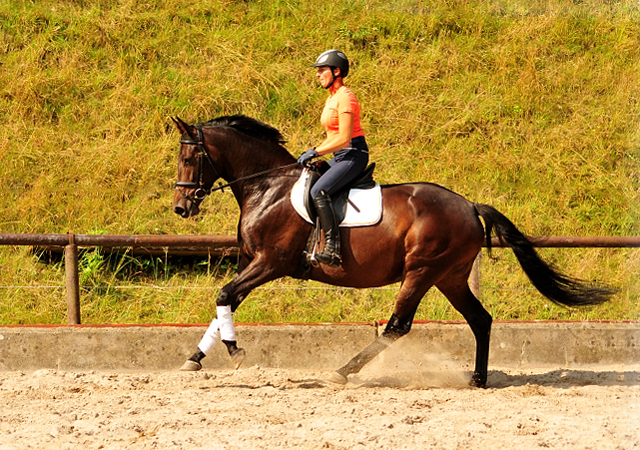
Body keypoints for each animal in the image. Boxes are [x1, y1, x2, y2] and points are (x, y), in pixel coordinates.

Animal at [171, 113, 616, 386]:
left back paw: (341, 372)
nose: (181, 207)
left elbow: (223, 295)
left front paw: (235, 351)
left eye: (191, 157)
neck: (268, 186)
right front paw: (194, 357)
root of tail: (469, 205)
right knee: (480, 319)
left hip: (421, 271)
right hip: (449, 277)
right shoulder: (251, 262)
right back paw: (477, 379)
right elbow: (224, 304)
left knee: (398, 326)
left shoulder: (270, 262)